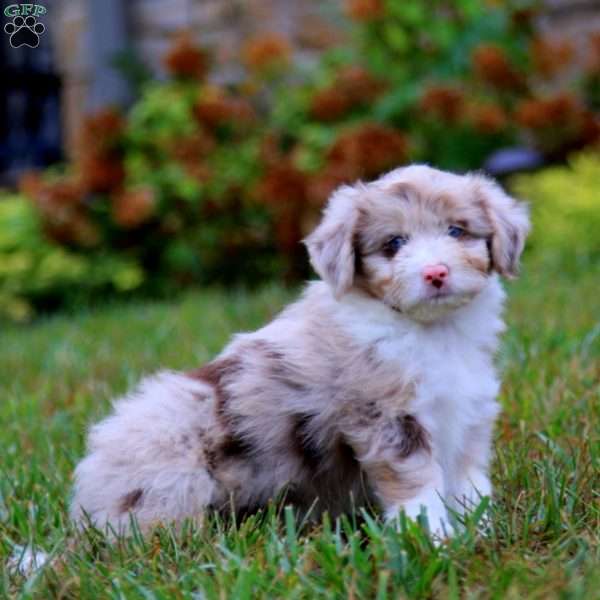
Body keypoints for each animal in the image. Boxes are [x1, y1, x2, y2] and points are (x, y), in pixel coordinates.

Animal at [71, 164, 528, 536]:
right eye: (394, 244)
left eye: (457, 231)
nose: (435, 273)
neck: (433, 332)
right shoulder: (389, 422)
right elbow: (420, 494)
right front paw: (436, 545)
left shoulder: (468, 418)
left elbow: (471, 488)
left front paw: (483, 537)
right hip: (171, 466)